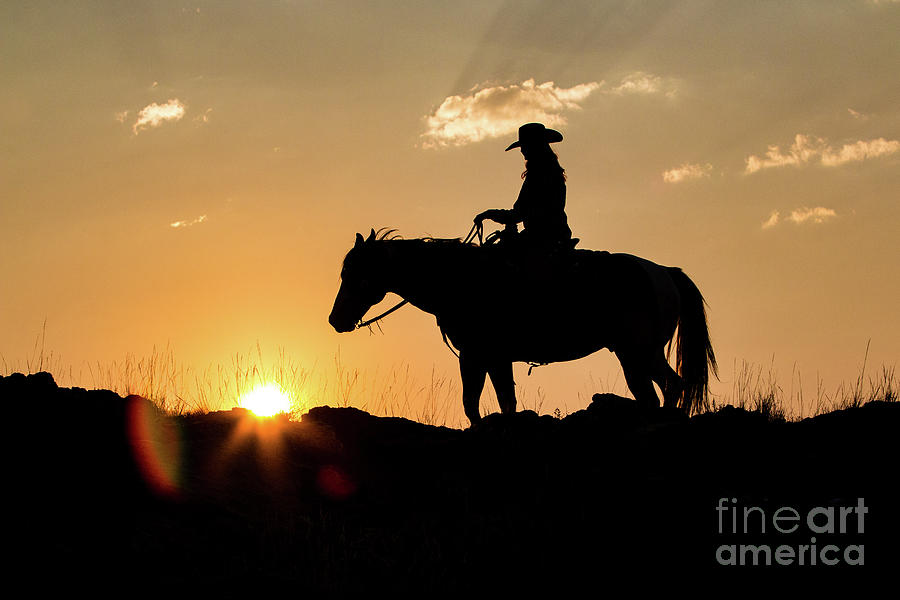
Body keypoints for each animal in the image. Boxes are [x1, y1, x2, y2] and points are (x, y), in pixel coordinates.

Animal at [330, 227, 716, 424]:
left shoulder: (477, 356)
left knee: (661, 392)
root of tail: (664, 273)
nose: (336, 320)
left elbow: (480, 404)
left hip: (636, 353)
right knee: (669, 388)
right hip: (643, 354)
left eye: (353, 273)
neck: (460, 281)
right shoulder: (491, 359)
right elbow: (497, 404)